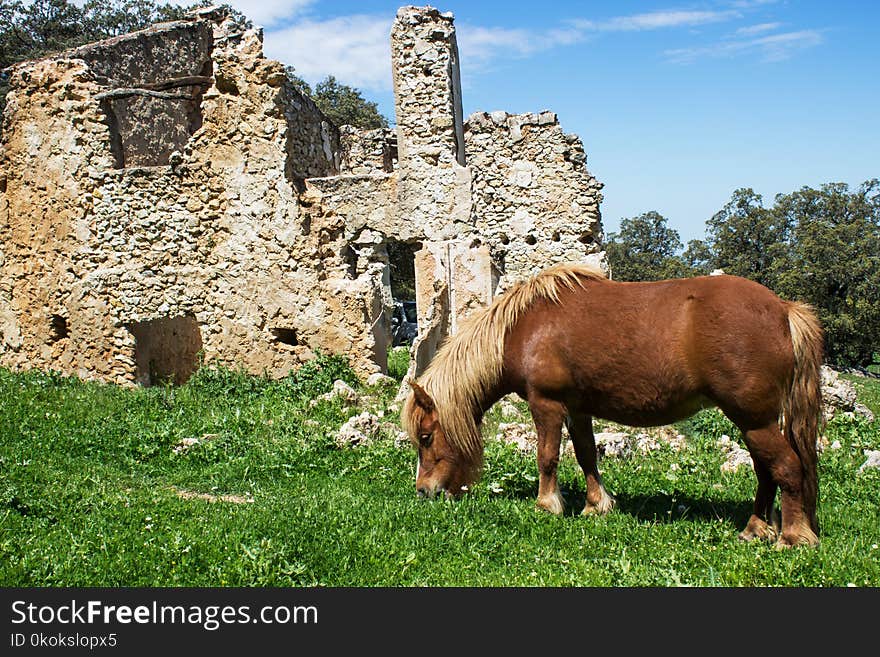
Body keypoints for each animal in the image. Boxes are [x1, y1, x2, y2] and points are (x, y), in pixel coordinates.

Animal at [400, 258, 824, 544]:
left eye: (426, 437)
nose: (423, 492)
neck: (523, 329)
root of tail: (783, 310)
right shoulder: (578, 409)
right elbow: (587, 455)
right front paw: (596, 505)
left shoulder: (546, 405)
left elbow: (547, 457)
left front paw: (547, 505)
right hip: (754, 423)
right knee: (766, 472)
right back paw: (756, 529)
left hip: (754, 421)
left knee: (786, 468)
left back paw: (793, 537)